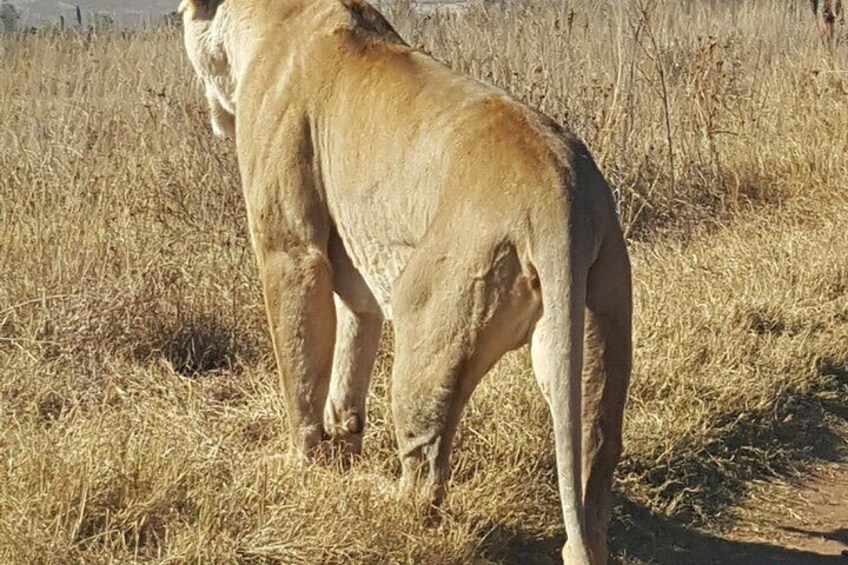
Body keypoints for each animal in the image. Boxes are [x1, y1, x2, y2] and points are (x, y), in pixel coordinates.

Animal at [178, 1, 632, 563]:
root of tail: (560, 192)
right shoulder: (356, 278)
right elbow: (349, 361)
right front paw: (342, 447)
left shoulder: (292, 250)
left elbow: (300, 368)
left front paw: (303, 465)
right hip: (595, 320)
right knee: (593, 456)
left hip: (431, 317)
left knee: (424, 472)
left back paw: (377, 502)